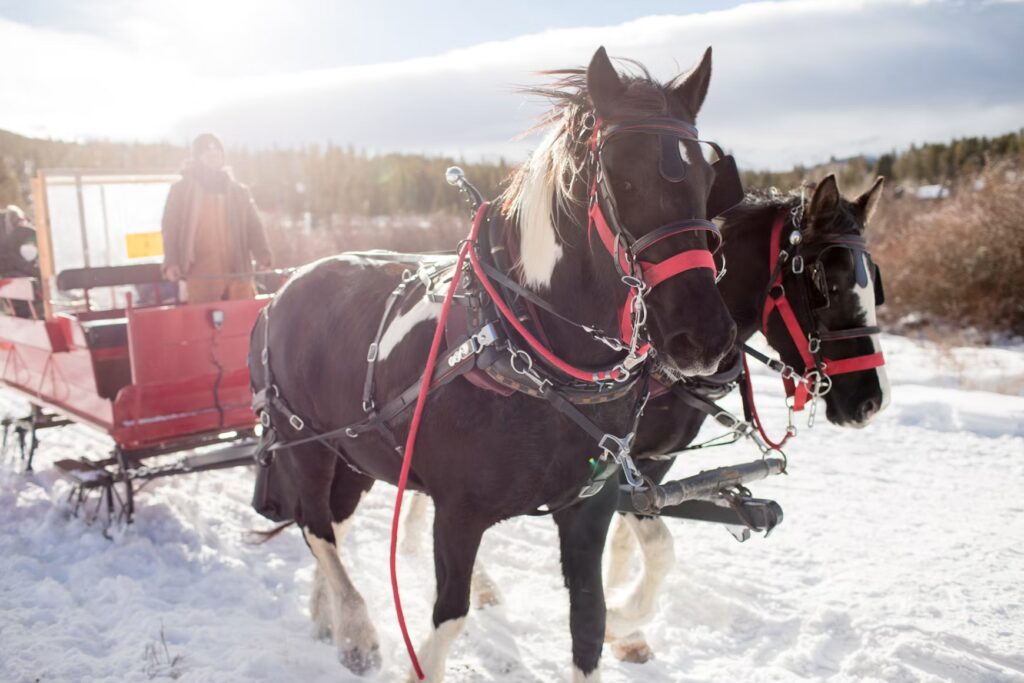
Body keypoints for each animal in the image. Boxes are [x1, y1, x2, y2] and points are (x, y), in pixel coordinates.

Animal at [249, 46, 739, 682]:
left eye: (707, 179)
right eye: (622, 177)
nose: (703, 336)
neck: (535, 354)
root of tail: (282, 289)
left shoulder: (590, 509)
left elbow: (591, 624)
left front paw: (620, 627)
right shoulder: (458, 514)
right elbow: (447, 619)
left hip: (354, 452)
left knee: (334, 521)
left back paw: (325, 612)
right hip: (302, 443)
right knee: (316, 527)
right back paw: (356, 628)